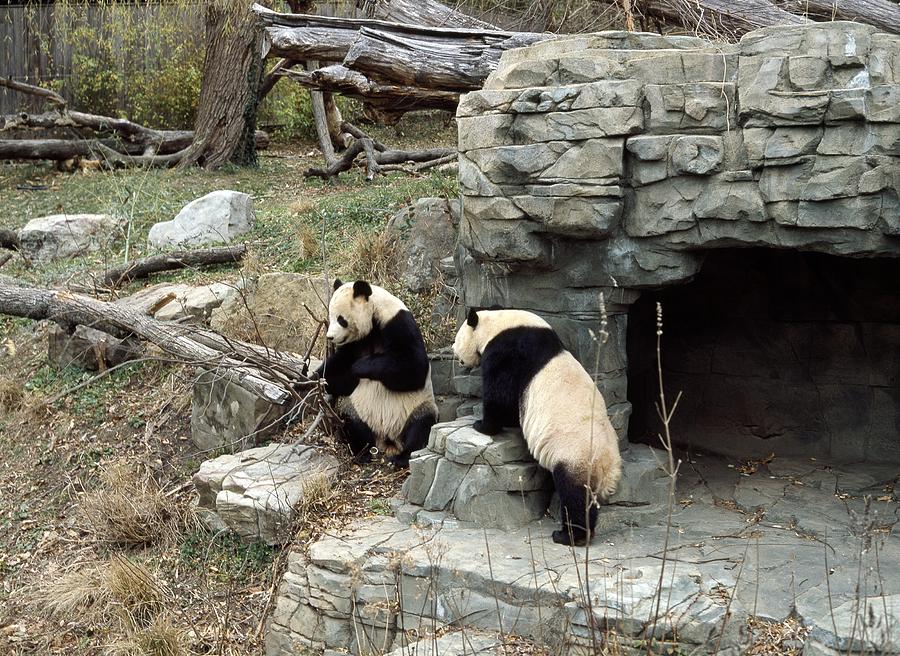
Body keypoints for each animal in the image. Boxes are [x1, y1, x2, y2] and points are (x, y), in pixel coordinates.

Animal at [316, 280, 436, 468]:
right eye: (330, 316)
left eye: (341, 319)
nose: (330, 337)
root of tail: (387, 440)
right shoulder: (354, 345)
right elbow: (338, 372)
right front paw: (311, 381)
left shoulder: (398, 323)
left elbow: (414, 367)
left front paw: (360, 366)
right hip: (358, 410)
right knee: (352, 422)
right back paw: (362, 452)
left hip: (417, 406)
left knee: (421, 427)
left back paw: (401, 458)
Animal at [454, 310, 624, 544]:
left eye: (457, 338)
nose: (454, 351)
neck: (499, 324)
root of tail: (607, 465)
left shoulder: (509, 352)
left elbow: (500, 395)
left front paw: (482, 425)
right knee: (589, 500)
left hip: (575, 455)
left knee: (574, 495)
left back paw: (568, 536)